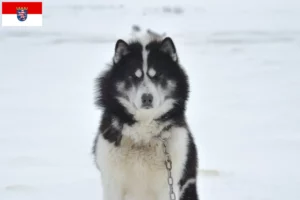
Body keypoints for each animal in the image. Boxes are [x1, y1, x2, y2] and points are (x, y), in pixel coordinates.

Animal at [92, 32, 198, 200]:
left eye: (157, 75)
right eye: (134, 76)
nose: (147, 98)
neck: (143, 137)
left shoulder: (168, 184)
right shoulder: (112, 184)